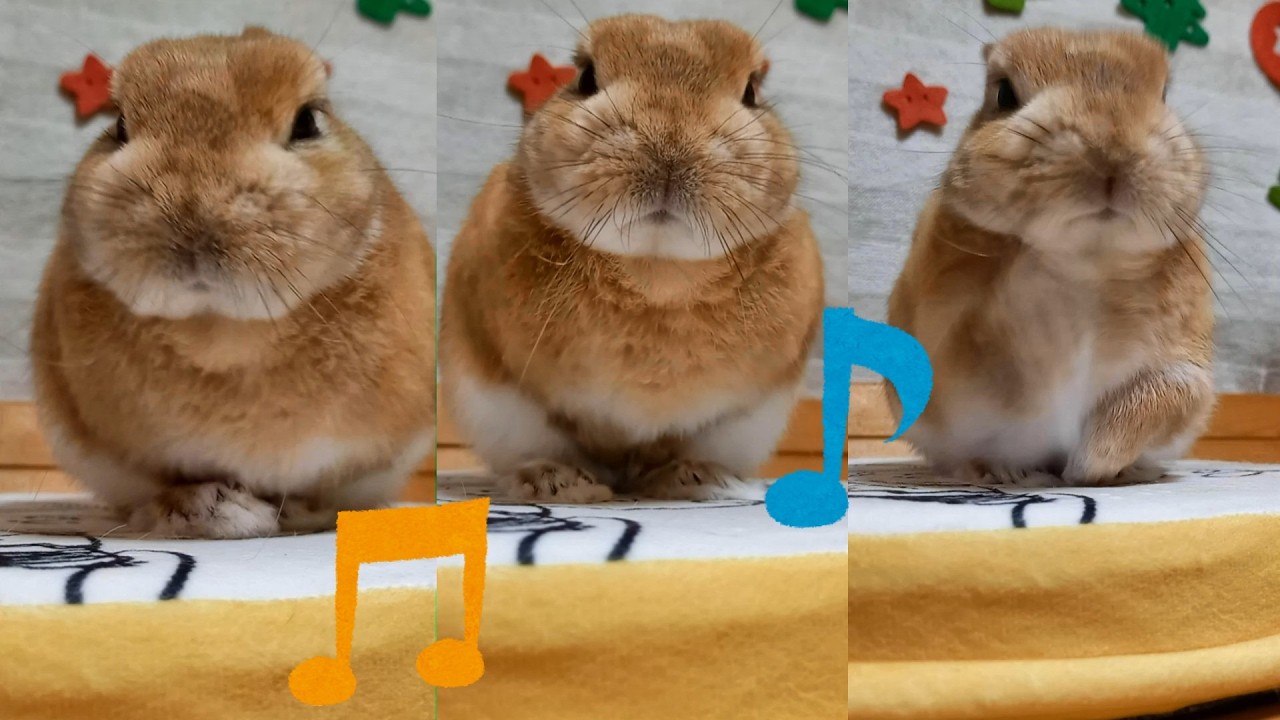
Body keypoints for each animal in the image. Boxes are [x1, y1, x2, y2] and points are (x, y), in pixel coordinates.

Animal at [30, 27, 436, 538]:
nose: (191, 209)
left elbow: (320, 492)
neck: (220, 330)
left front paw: (277, 513)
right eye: (119, 126)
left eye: (308, 121)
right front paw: (211, 510)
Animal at [440, 14, 824, 503]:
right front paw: (559, 481)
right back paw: (561, 483)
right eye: (585, 78)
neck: (655, 269)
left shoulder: (742, 412)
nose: (670, 145)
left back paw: (696, 479)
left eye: (751, 92)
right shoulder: (504, 394)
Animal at [885, 27, 1215, 488]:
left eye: (1165, 93)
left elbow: (1155, 401)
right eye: (1004, 93)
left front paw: (1087, 468)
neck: (1087, 256)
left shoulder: (1184, 371)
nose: (1111, 149)